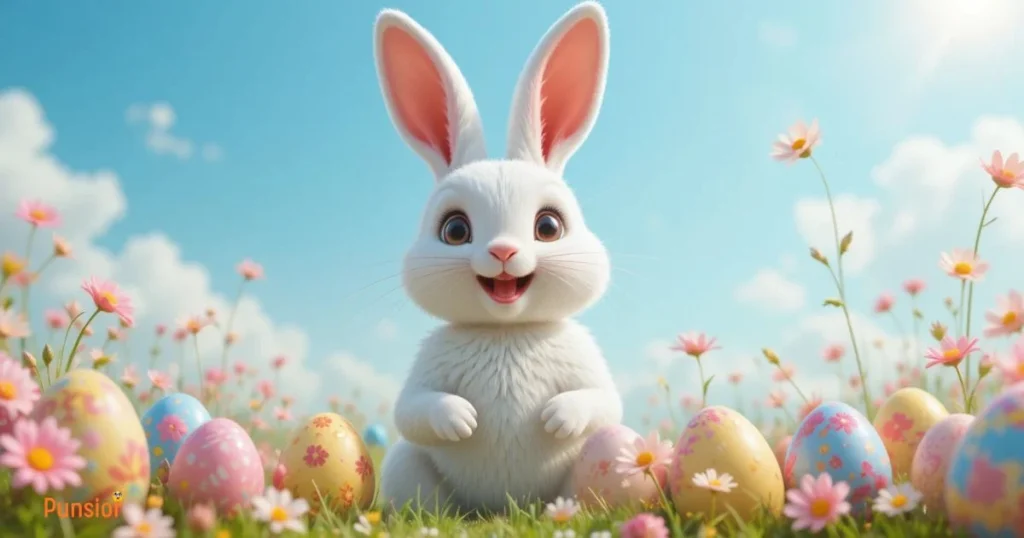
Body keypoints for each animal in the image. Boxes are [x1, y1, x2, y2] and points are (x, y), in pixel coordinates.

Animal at [373, 1, 623, 514]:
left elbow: (605, 400)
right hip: (407, 467)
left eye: (548, 227)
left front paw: (558, 416)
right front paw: (460, 419)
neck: (505, 331)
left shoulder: (587, 362)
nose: (503, 251)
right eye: (454, 230)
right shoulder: (427, 364)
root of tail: (502, 505)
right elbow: (410, 410)